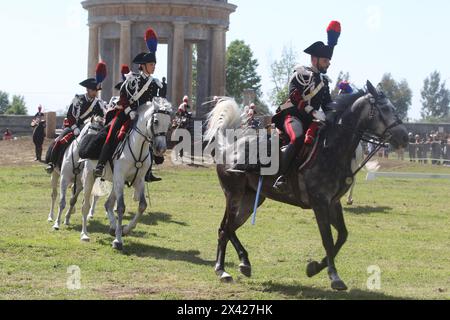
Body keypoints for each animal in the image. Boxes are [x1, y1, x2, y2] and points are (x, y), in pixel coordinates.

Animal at [81, 97, 172, 248]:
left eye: (169, 123)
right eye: (156, 121)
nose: (161, 149)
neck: (137, 147)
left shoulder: (138, 180)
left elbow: (142, 206)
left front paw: (125, 230)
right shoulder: (120, 177)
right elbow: (121, 207)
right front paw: (118, 240)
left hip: (116, 182)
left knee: (108, 204)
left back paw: (113, 227)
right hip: (90, 177)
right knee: (86, 205)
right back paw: (84, 235)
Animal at [206, 81, 410, 292]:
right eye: (385, 109)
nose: (405, 137)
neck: (331, 149)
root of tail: (228, 146)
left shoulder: (333, 203)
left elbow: (342, 236)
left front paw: (314, 268)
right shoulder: (320, 203)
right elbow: (328, 239)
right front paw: (334, 276)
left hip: (251, 199)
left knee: (228, 228)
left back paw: (243, 263)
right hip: (234, 194)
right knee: (225, 229)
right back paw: (222, 270)